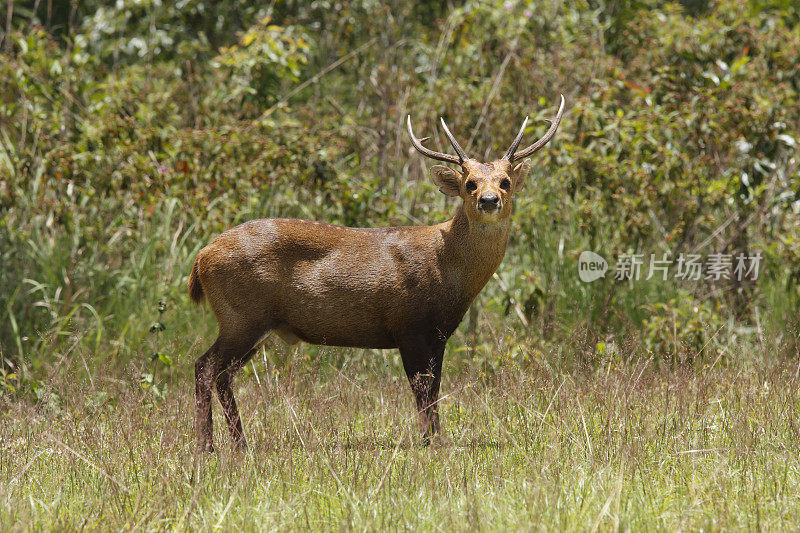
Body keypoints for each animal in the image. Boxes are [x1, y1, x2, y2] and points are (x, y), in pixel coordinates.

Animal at [188, 94, 564, 448]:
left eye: (505, 181)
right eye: (469, 183)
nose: (488, 200)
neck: (447, 268)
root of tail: (201, 258)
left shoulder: (439, 333)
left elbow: (434, 389)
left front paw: (436, 439)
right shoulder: (408, 324)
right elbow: (422, 391)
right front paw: (430, 443)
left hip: (251, 322)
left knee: (220, 374)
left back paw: (236, 443)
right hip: (242, 315)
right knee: (205, 367)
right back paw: (209, 445)